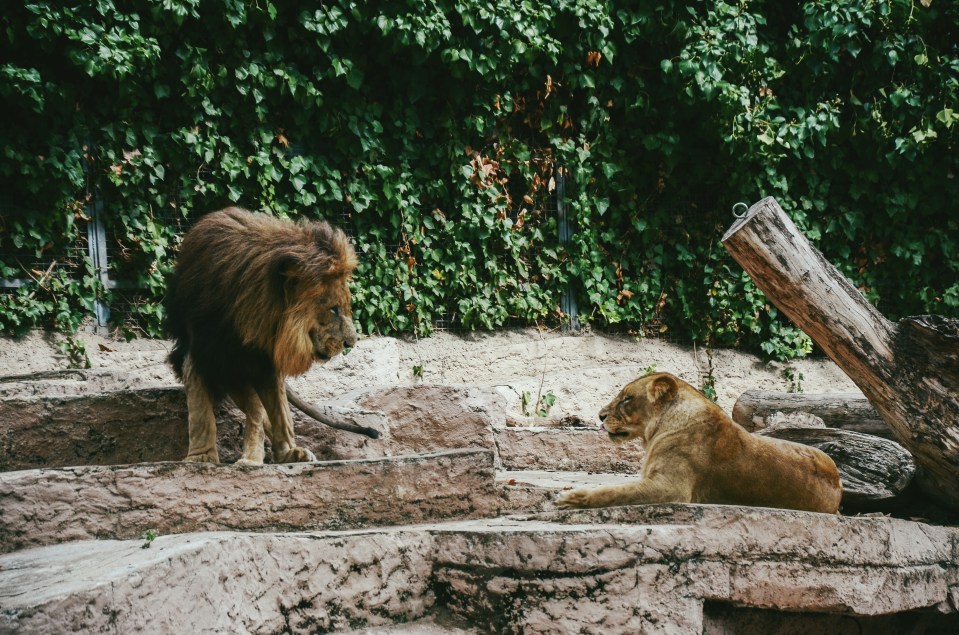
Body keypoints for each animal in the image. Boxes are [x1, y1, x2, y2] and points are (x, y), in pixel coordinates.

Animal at [165, 209, 364, 468]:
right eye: (333, 309)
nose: (351, 343)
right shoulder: (206, 352)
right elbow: (202, 415)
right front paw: (201, 457)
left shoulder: (262, 362)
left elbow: (277, 411)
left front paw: (284, 453)